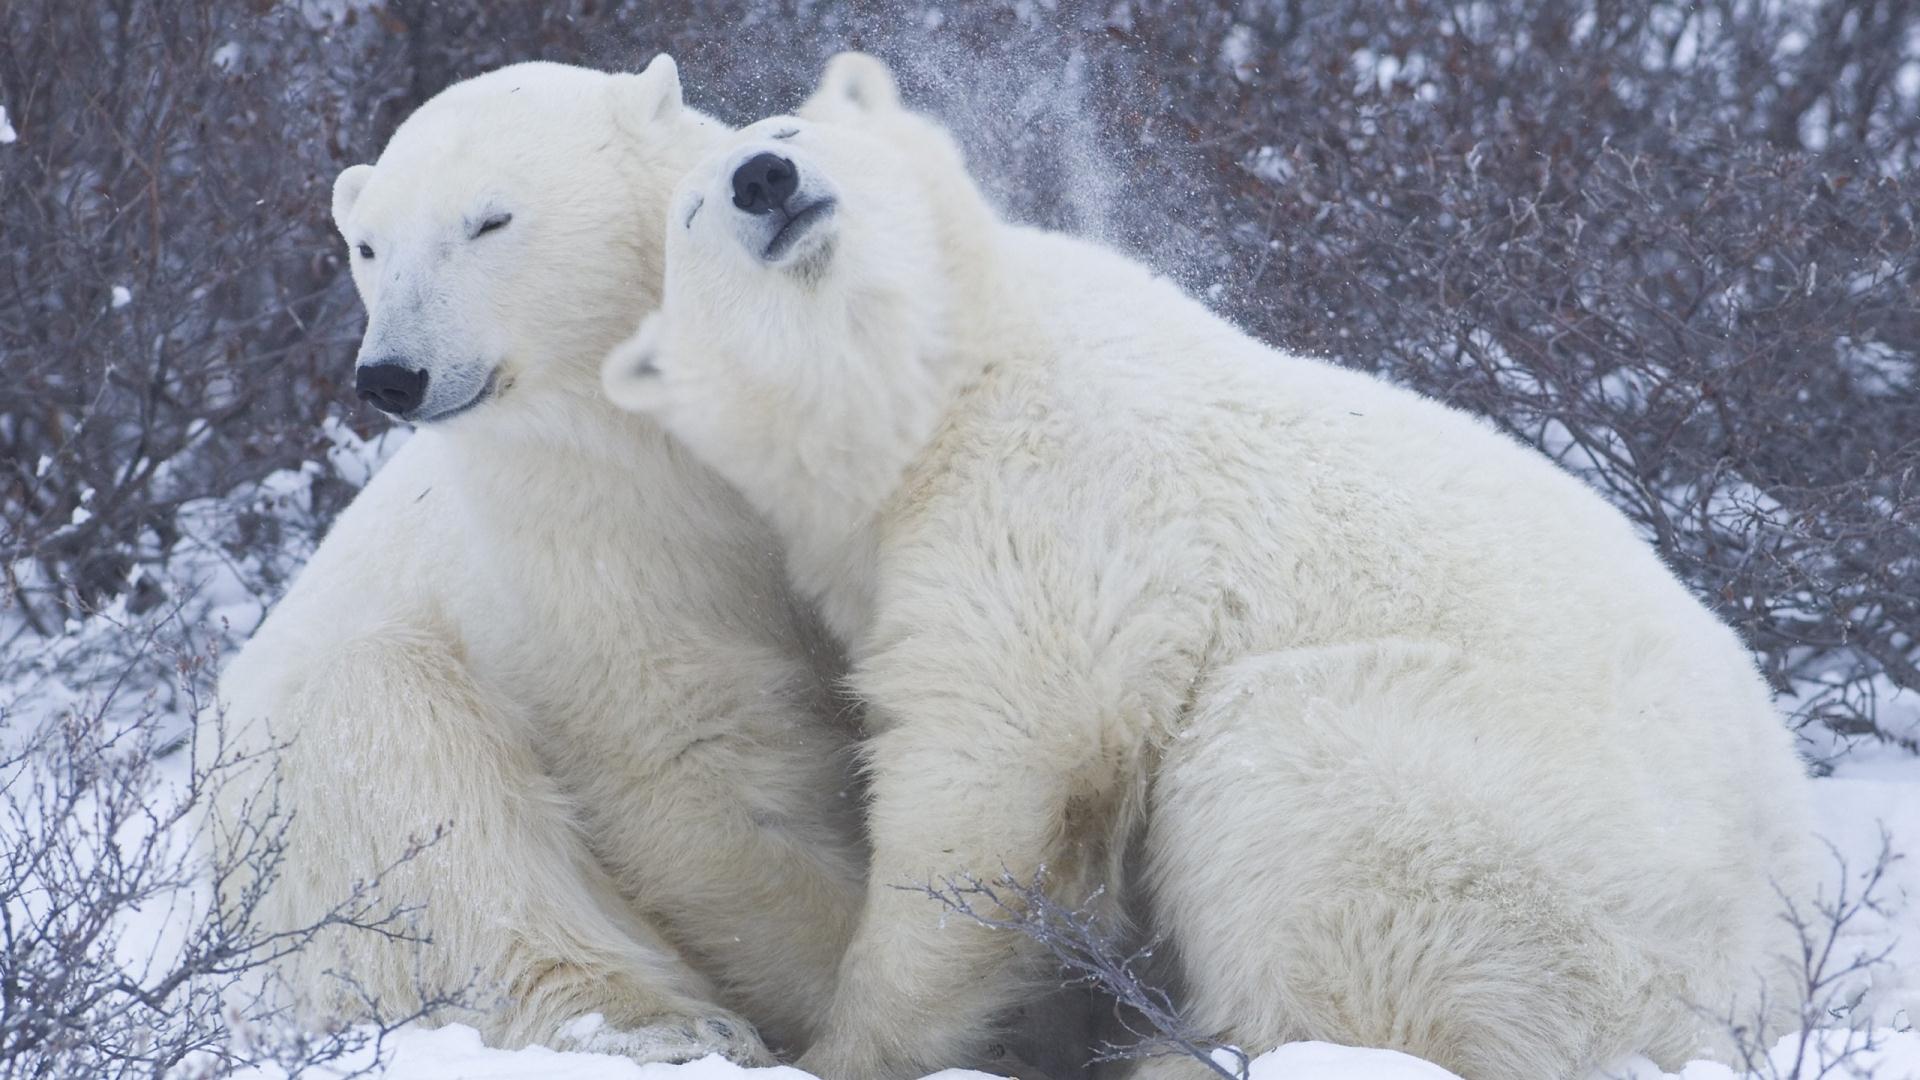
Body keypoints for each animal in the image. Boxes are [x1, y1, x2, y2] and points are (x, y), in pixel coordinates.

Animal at [206, 56, 867, 1060]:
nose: (391, 375)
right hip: (296, 822)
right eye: (369, 247)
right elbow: (694, 765)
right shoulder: (584, 543)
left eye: (489, 221)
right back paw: (664, 1025)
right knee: (412, 771)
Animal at [606, 54, 1820, 1076]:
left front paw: (852, 1045)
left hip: (1525, 852)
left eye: (788, 128)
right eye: (692, 210)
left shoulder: (1055, 497)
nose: (766, 179)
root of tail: (1760, 986)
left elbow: (998, 767)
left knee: (1290, 794)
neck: (945, 388)